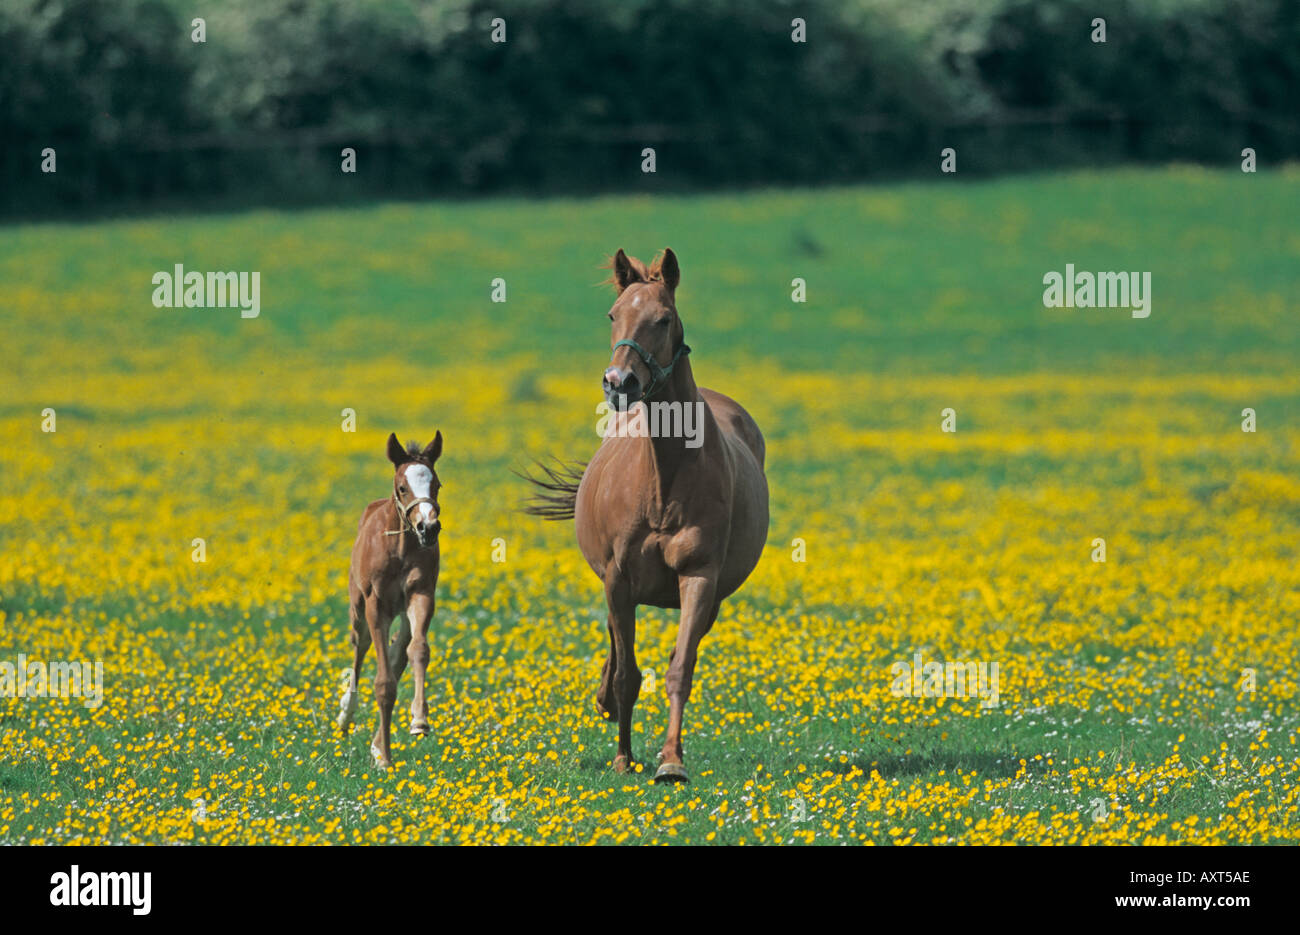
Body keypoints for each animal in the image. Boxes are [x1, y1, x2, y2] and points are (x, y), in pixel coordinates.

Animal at [338, 431, 443, 769]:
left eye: (436, 485)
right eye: (402, 487)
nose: (429, 528)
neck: (400, 548)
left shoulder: (422, 594)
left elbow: (418, 651)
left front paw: (419, 720)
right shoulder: (376, 605)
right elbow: (383, 682)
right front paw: (385, 758)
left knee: (401, 652)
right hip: (357, 608)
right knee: (360, 648)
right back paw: (346, 715)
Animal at [524, 248, 769, 783]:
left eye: (663, 318)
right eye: (613, 315)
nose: (619, 383)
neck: (663, 480)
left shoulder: (699, 578)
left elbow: (679, 669)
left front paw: (671, 760)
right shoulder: (617, 580)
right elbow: (627, 674)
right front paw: (622, 756)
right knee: (617, 649)